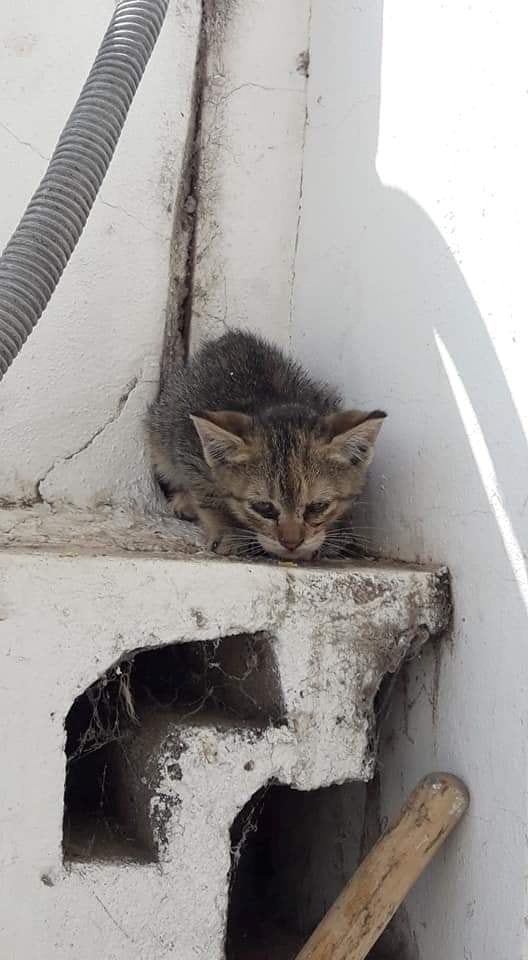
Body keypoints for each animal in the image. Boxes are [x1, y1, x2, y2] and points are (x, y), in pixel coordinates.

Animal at [146, 334, 386, 564]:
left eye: (318, 506)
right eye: (264, 508)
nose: (291, 543)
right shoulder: (189, 450)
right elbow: (207, 495)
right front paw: (229, 532)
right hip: (162, 430)